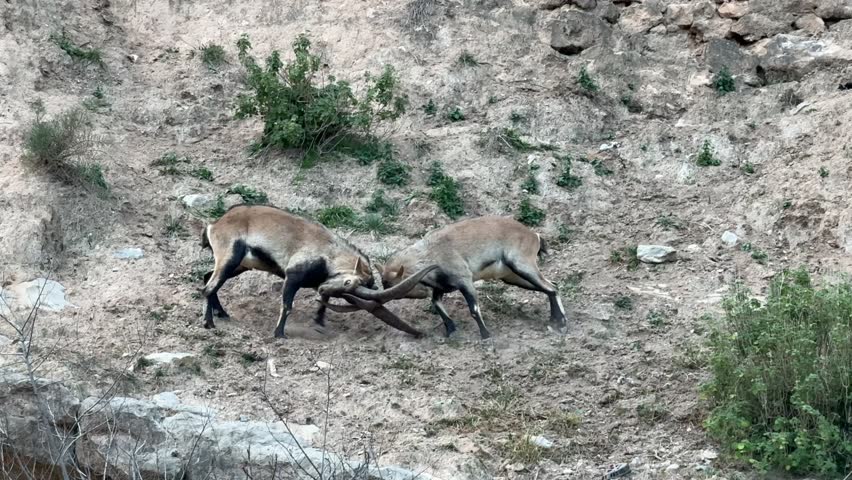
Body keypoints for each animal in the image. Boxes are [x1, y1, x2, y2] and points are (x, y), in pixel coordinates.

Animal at [199, 204, 435, 338]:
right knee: (208, 287)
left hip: (239, 265)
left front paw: (319, 322)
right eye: (349, 283)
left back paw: (222, 313)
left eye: (345, 293)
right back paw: (208, 323)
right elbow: (287, 305)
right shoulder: (293, 276)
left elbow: (322, 302)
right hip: (230, 257)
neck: (327, 251)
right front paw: (279, 334)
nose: (322, 288)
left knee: (207, 278)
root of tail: (214, 225)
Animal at [324, 216, 567, 339]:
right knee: (552, 285)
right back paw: (555, 320)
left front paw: (486, 336)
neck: (431, 253)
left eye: (394, 286)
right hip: (513, 276)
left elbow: (473, 308)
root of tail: (534, 235)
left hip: (522, 265)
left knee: (551, 286)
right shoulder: (442, 287)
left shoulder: (464, 279)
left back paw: (561, 323)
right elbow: (437, 303)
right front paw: (450, 330)